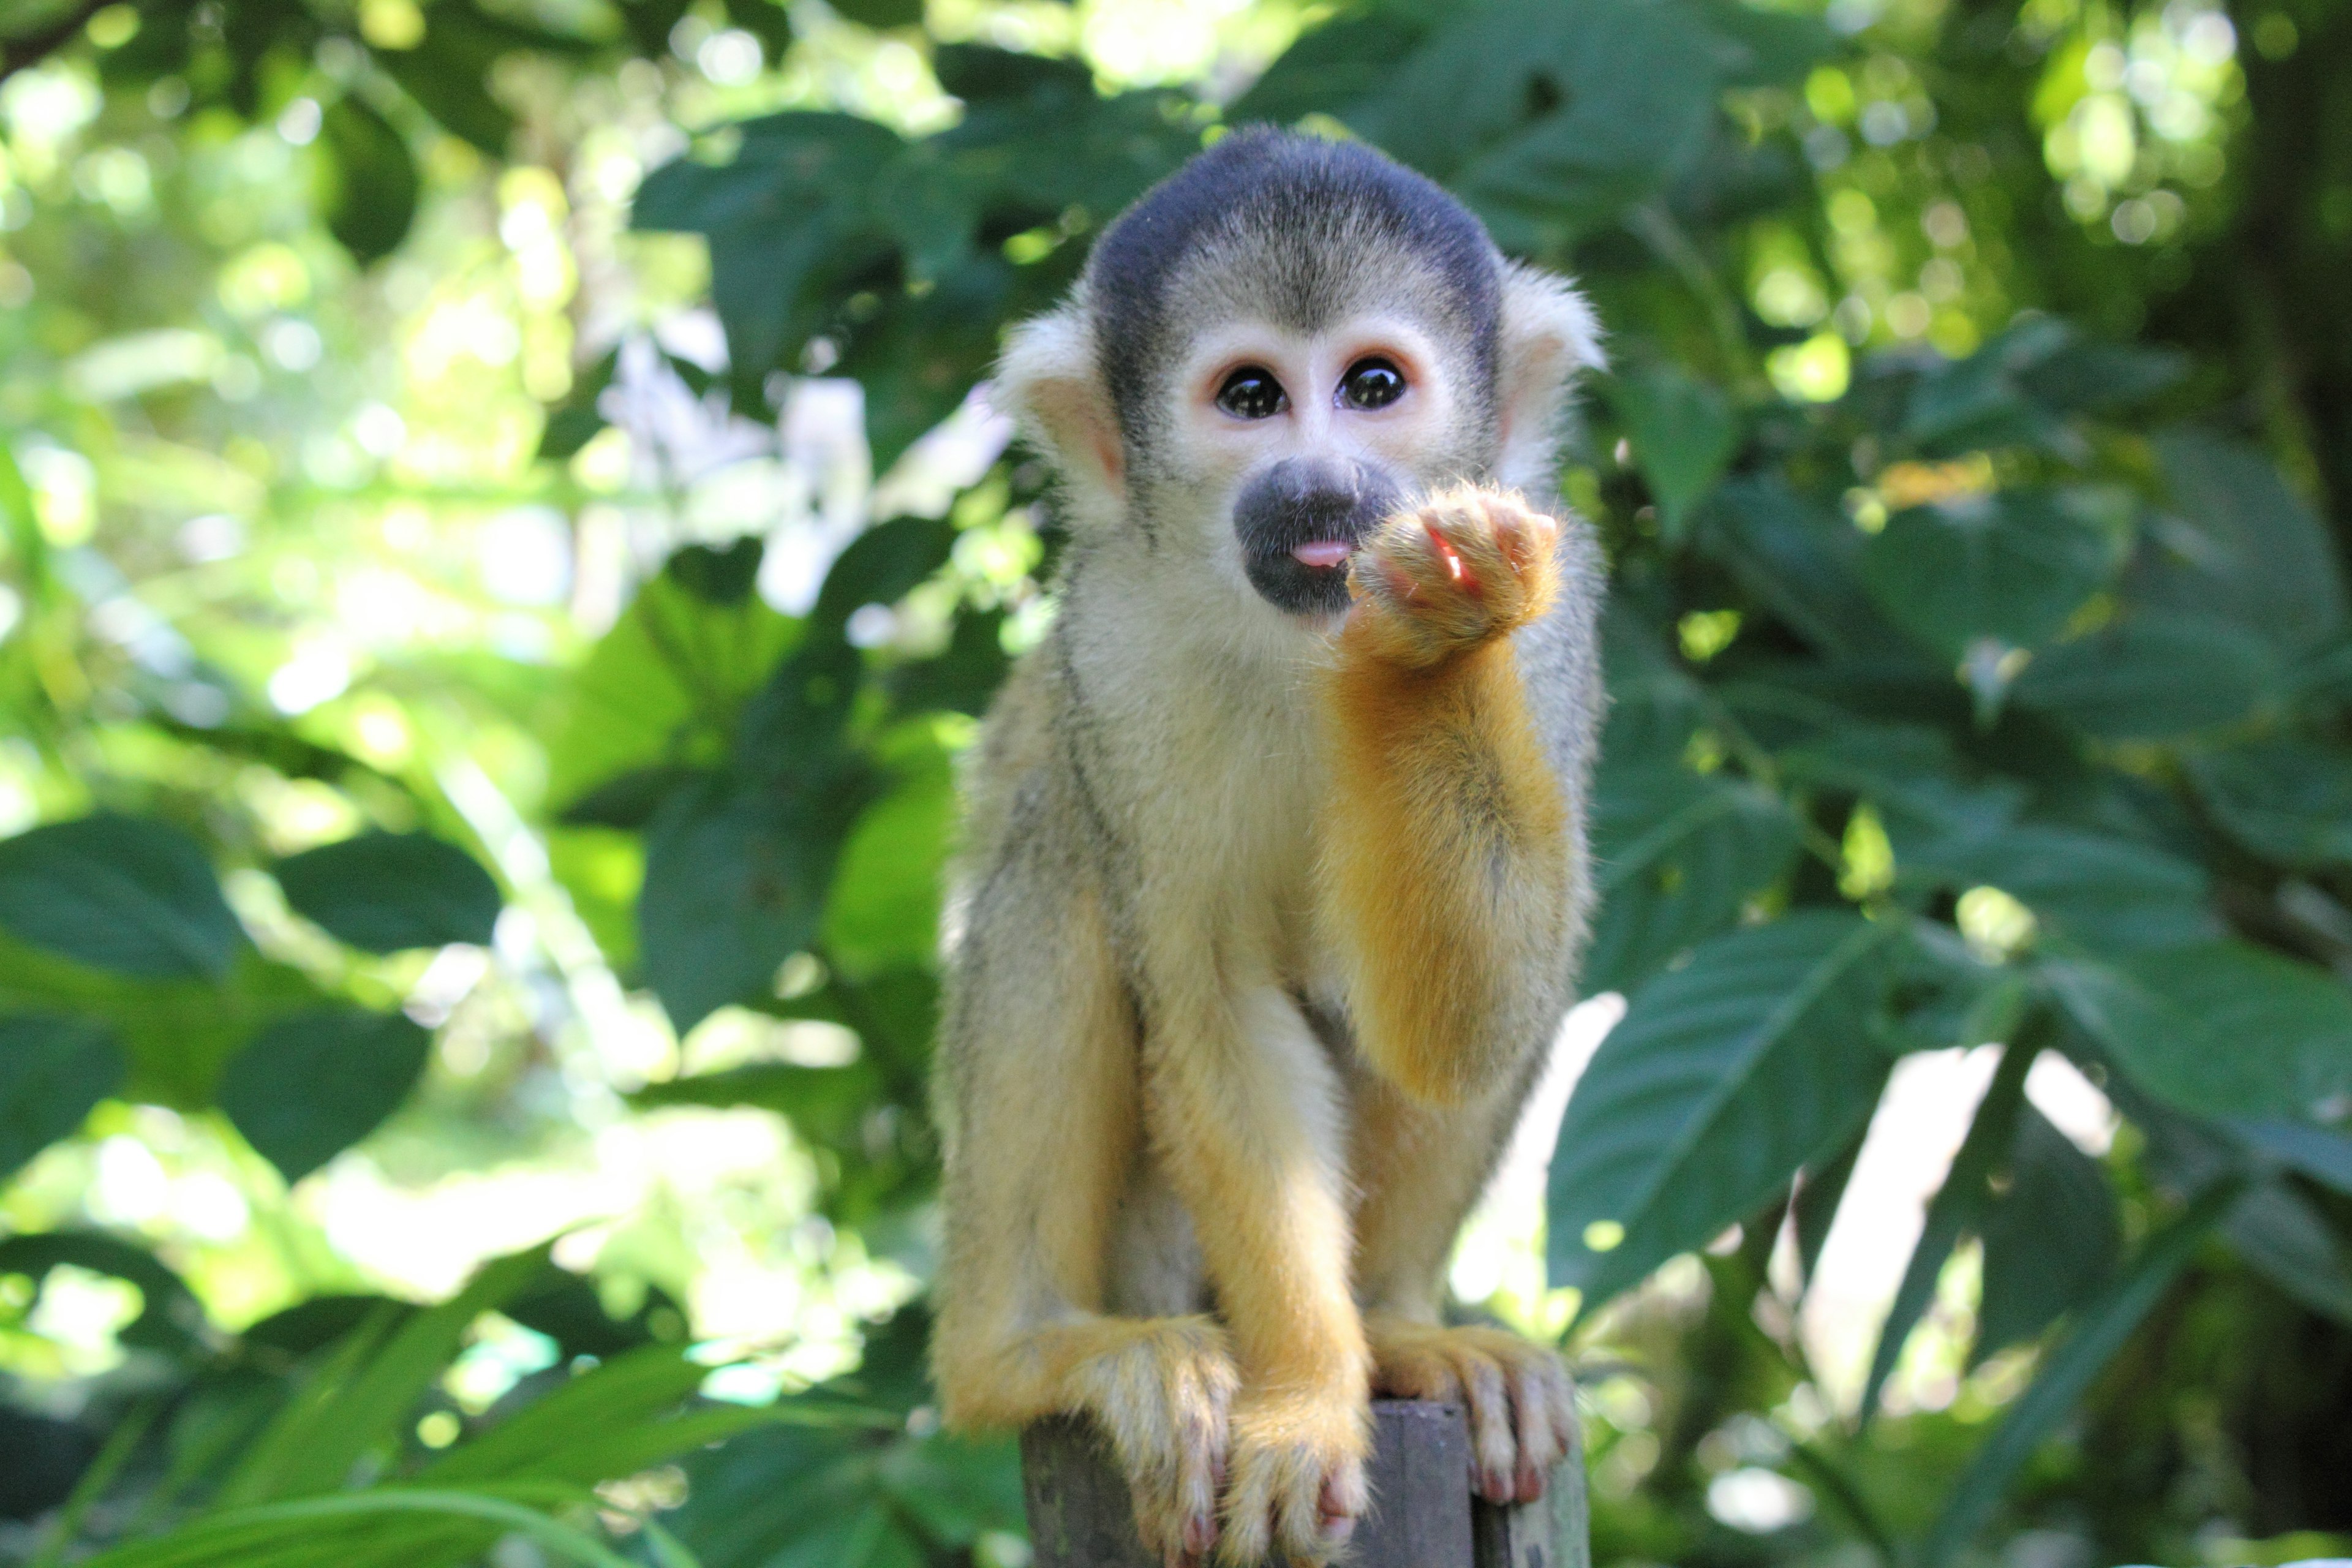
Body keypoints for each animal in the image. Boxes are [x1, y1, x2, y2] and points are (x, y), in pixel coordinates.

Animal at [926, 129, 1608, 1561]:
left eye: (1372, 386)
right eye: (1250, 396)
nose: (1321, 485)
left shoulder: (1561, 607)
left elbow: (1467, 1025)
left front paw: (1433, 639)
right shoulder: (1114, 645)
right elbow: (1215, 997)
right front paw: (1304, 1400)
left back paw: (1403, 1326)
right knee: (1063, 862)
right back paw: (1026, 1349)